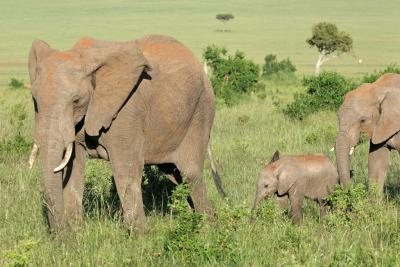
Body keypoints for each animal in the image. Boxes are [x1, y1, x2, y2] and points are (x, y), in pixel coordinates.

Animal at [28, 34, 225, 236]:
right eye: (35, 100)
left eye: (76, 100)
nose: (60, 237)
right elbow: (74, 167)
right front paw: (76, 234)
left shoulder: (127, 112)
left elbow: (126, 170)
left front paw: (140, 238)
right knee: (176, 175)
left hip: (201, 111)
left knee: (191, 174)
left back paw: (207, 229)